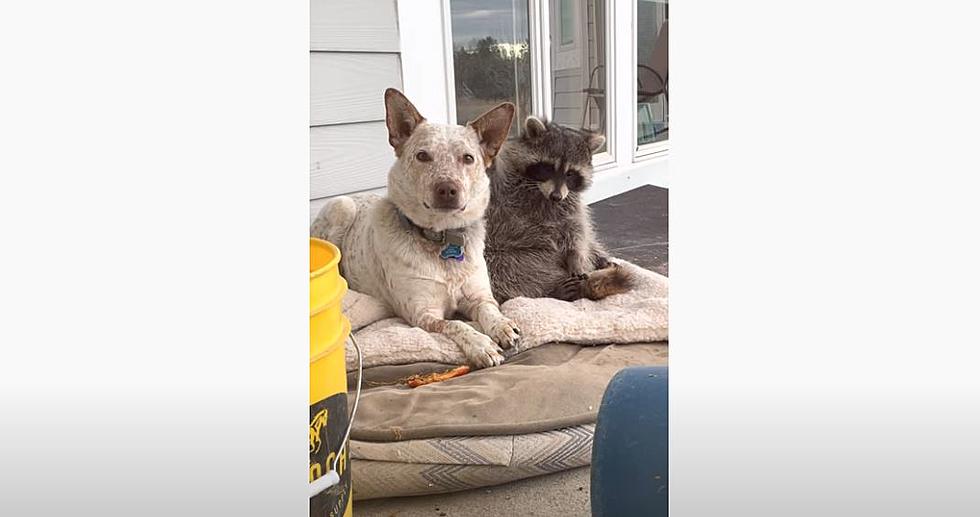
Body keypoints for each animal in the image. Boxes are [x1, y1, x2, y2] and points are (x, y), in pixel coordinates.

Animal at [312, 89, 520, 370]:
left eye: (468, 158)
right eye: (423, 155)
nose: (447, 189)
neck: (443, 239)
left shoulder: (479, 297)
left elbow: (490, 311)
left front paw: (503, 327)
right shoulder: (423, 315)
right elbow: (456, 324)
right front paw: (481, 345)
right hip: (341, 206)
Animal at [484, 117, 636, 302]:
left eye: (570, 173)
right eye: (548, 168)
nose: (555, 196)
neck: (540, 192)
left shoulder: (569, 201)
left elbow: (576, 229)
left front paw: (576, 257)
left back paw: (599, 261)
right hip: (505, 257)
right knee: (501, 270)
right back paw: (552, 290)